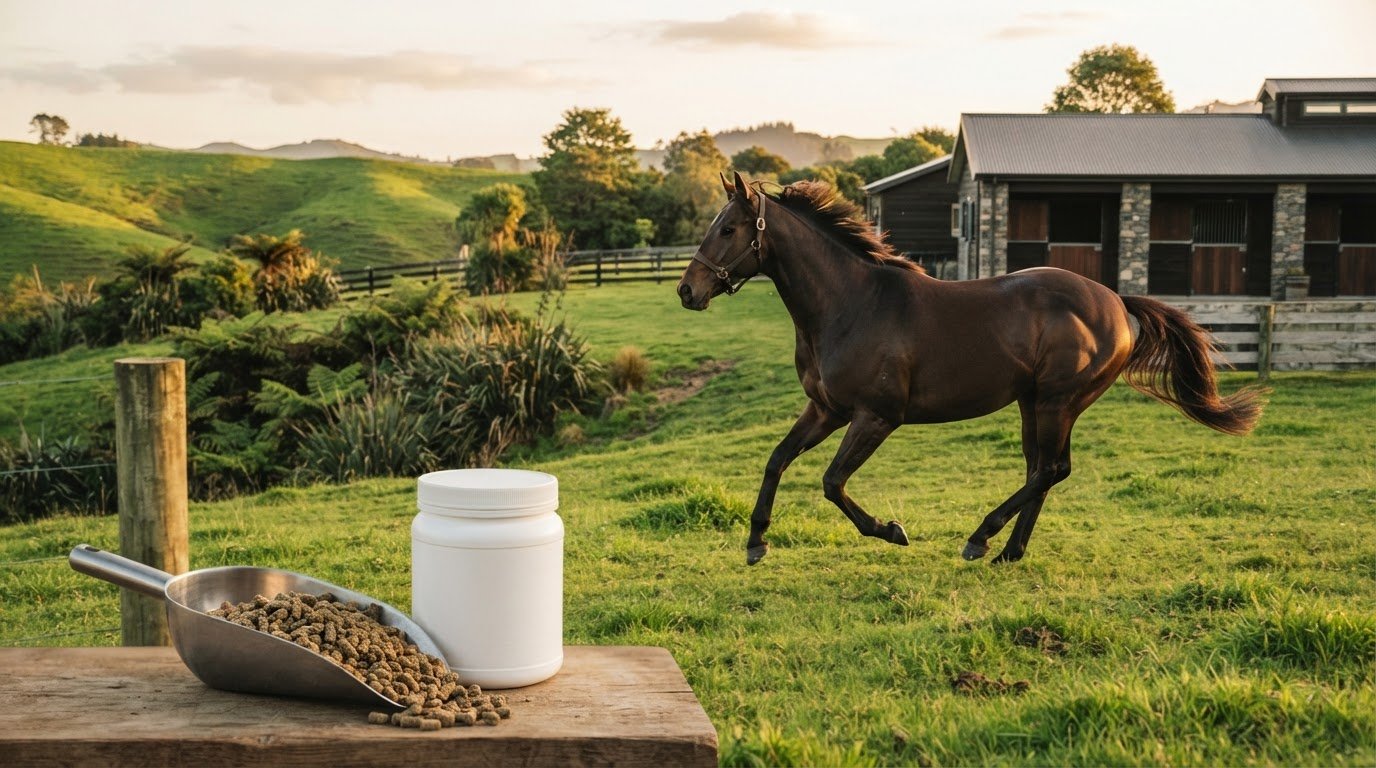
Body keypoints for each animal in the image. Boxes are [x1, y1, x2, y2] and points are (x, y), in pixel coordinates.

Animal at [677, 172, 1265, 566]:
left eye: (728, 229)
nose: (687, 290)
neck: (851, 303)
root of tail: (1117, 303)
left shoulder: (875, 417)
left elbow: (831, 481)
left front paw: (892, 530)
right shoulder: (826, 409)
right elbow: (777, 460)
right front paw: (756, 541)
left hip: (1058, 401)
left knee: (1050, 470)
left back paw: (981, 538)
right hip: (1035, 403)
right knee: (1043, 469)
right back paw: (1008, 551)